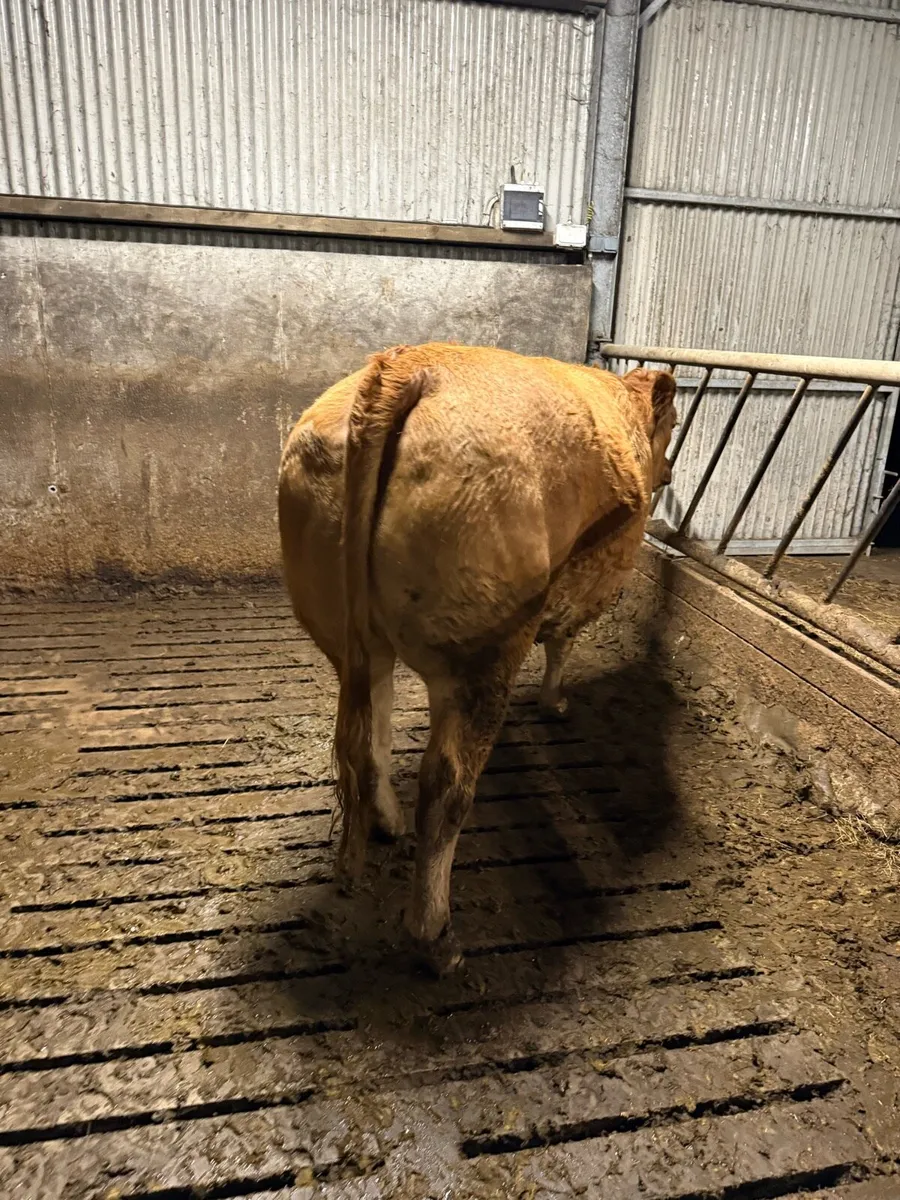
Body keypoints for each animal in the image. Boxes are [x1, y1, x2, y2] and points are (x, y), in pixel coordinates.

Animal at [278, 343, 676, 973]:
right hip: (481, 653)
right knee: (445, 786)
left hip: (347, 630)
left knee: (370, 735)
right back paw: (436, 936)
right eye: (675, 426)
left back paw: (387, 824)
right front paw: (555, 702)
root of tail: (404, 367)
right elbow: (563, 641)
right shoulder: (589, 582)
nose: (671, 473)